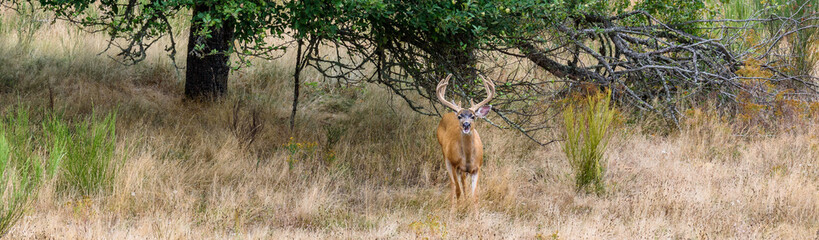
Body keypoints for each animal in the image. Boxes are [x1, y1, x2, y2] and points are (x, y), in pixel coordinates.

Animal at [432, 73, 496, 204]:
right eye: (460, 116)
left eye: (473, 116)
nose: (466, 124)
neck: (467, 158)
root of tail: (448, 113)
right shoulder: (454, 165)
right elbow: (458, 191)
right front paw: (456, 208)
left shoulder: (477, 168)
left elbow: (475, 195)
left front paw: (473, 208)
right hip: (446, 157)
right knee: (453, 184)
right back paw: (454, 203)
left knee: (463, 182)